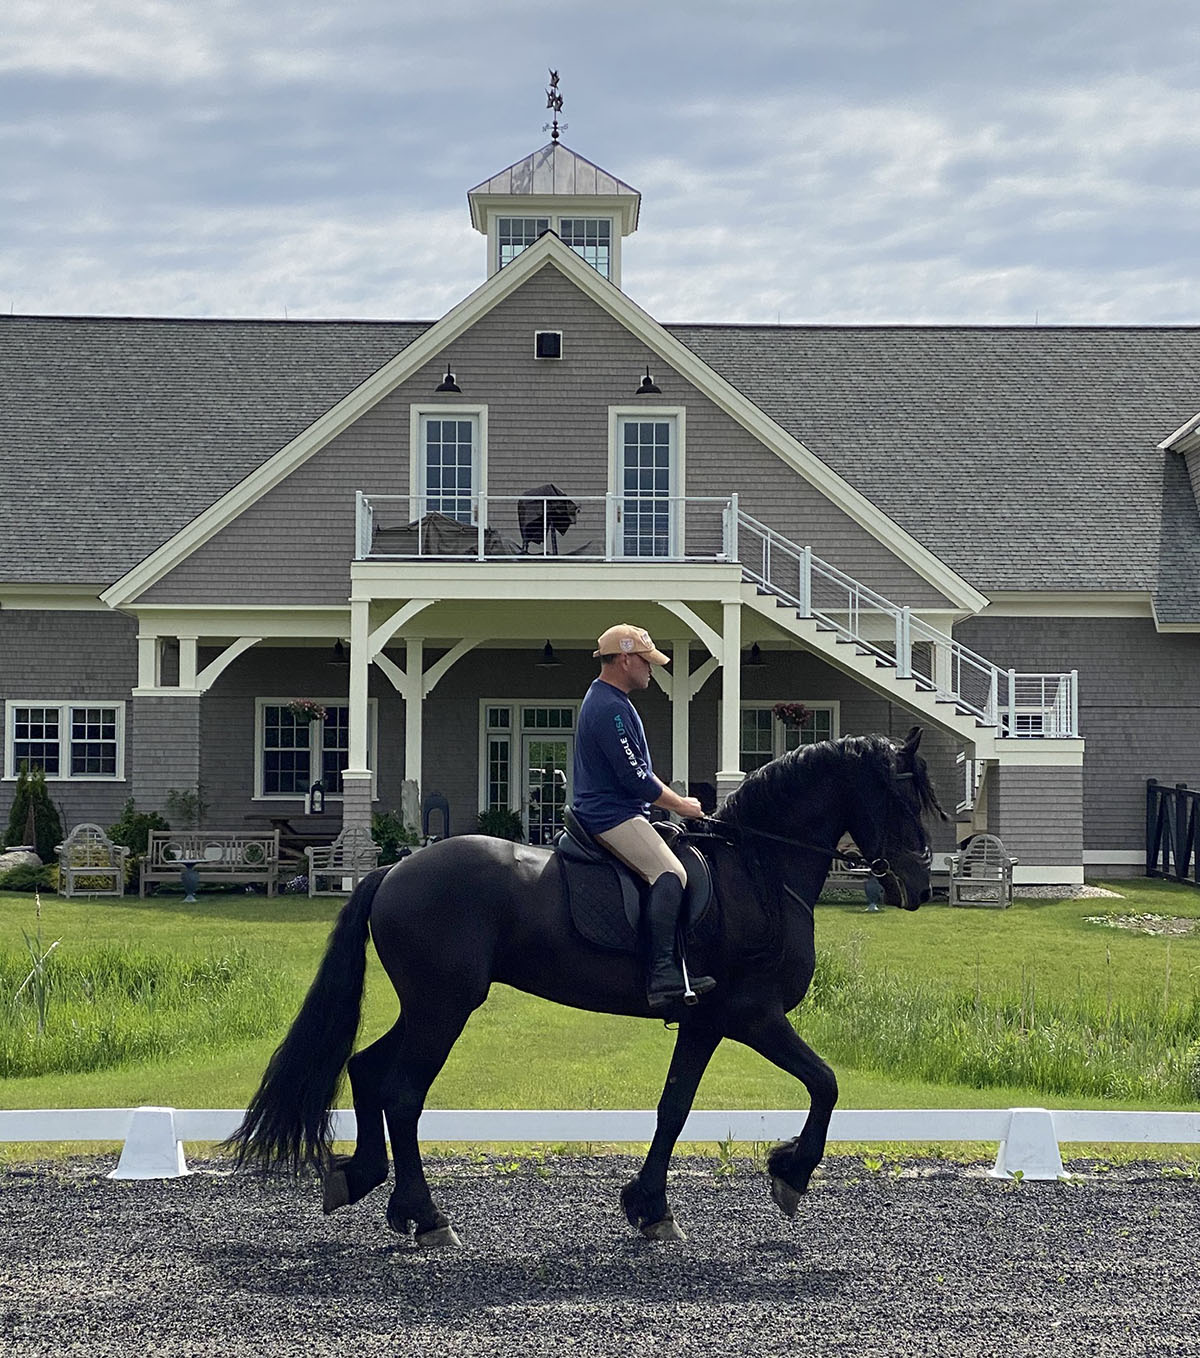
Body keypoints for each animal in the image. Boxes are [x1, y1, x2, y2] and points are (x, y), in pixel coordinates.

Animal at [222, 727, 939, 1243]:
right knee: (401, 1093)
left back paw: (366, 1184)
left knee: (368, 1070)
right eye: (905, 800)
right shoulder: (752, 1014)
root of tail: (392, 871)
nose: (920, 886)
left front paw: (651, 1209)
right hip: (444, 1007)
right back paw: (427, 1218)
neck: (759, 869)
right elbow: (826, 1083)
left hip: (429, 1005)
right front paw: (790, 1174)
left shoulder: (705, 1021)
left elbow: (674, 1108)